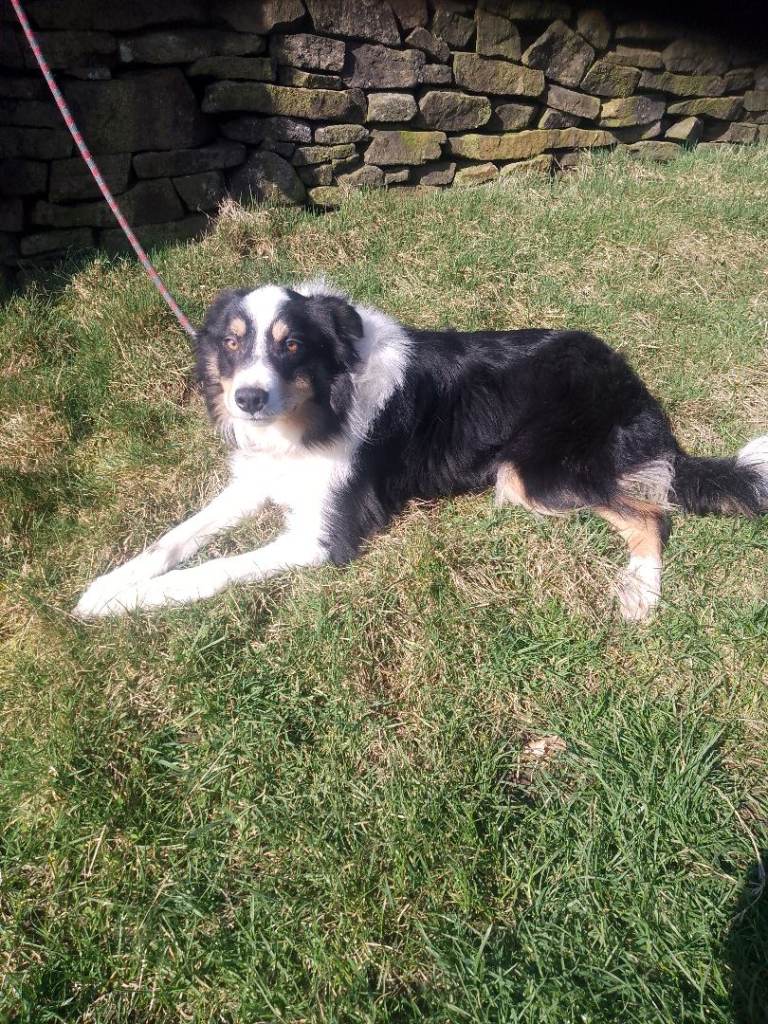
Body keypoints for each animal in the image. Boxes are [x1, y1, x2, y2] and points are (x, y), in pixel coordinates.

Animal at [74, 279, 768, 622]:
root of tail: (629, 380)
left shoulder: (323, 539)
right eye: (233, 343)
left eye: (291, 345)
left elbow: (215, 567)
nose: (246, 398)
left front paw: (131, 604)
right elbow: (175, 540)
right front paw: (108, 587)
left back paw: (639, 596)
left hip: (535, 473)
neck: (319, 406)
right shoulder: (259, 480)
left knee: (651, 513)